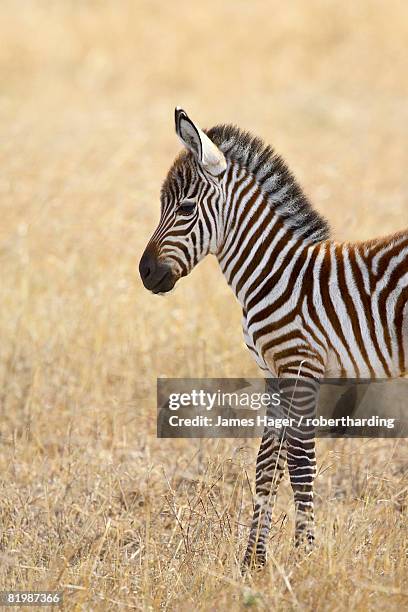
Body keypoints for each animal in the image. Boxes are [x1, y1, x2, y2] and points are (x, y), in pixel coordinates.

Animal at [138, 109, 408, 568]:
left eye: (186, 207)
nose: (145, 273)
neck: (273, 272)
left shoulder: (301, 367)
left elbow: (300, 463)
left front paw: (304, 558)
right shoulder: (273, 373)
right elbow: (268, 464)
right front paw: (253, 561)